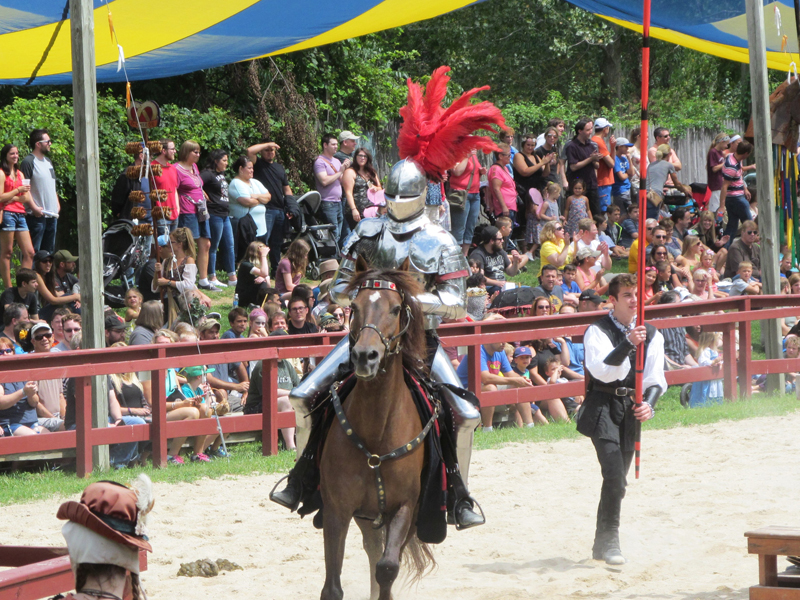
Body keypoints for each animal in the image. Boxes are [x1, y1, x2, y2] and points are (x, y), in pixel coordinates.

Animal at [318, 258, 434, 600]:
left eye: (396, 309)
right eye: (354, 307)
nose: (364, 357)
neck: (376, 434)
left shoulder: (405, 507)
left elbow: (388, 568)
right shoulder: (337, 509)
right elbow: (333, 586)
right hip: (365, 516)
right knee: (372, 548)